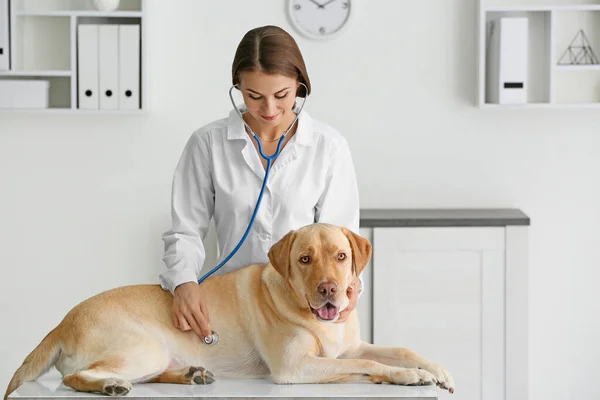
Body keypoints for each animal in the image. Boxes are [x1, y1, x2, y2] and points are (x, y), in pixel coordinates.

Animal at [3, 223, 454, 398]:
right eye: (305, 259)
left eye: (341, 257)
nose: (328, 291)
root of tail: (61, 323)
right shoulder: (294, 367)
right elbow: (373, 365)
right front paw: (409, 377)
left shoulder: (349, 348)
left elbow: (397, 351)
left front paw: (434, 370)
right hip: (141, 348)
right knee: (76, 377)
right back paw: (111, 385)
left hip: (154, 355)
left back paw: (191, 374)